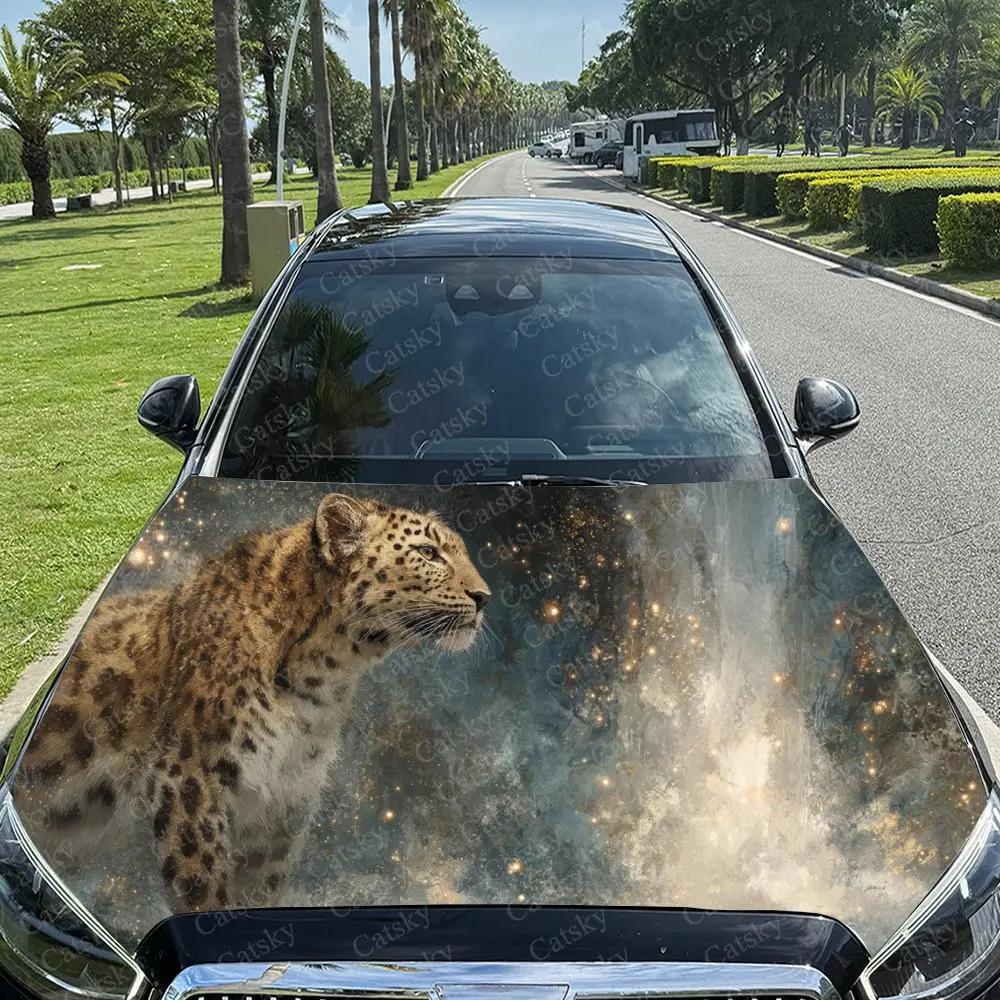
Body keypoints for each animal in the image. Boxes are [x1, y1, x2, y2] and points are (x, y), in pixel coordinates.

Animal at [15, 492, 491, 915]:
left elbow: (261, 888)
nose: (485, 597)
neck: (321, 677)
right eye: (428, 552)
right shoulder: (186, 776)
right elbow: (201, 884)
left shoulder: (281, 803)